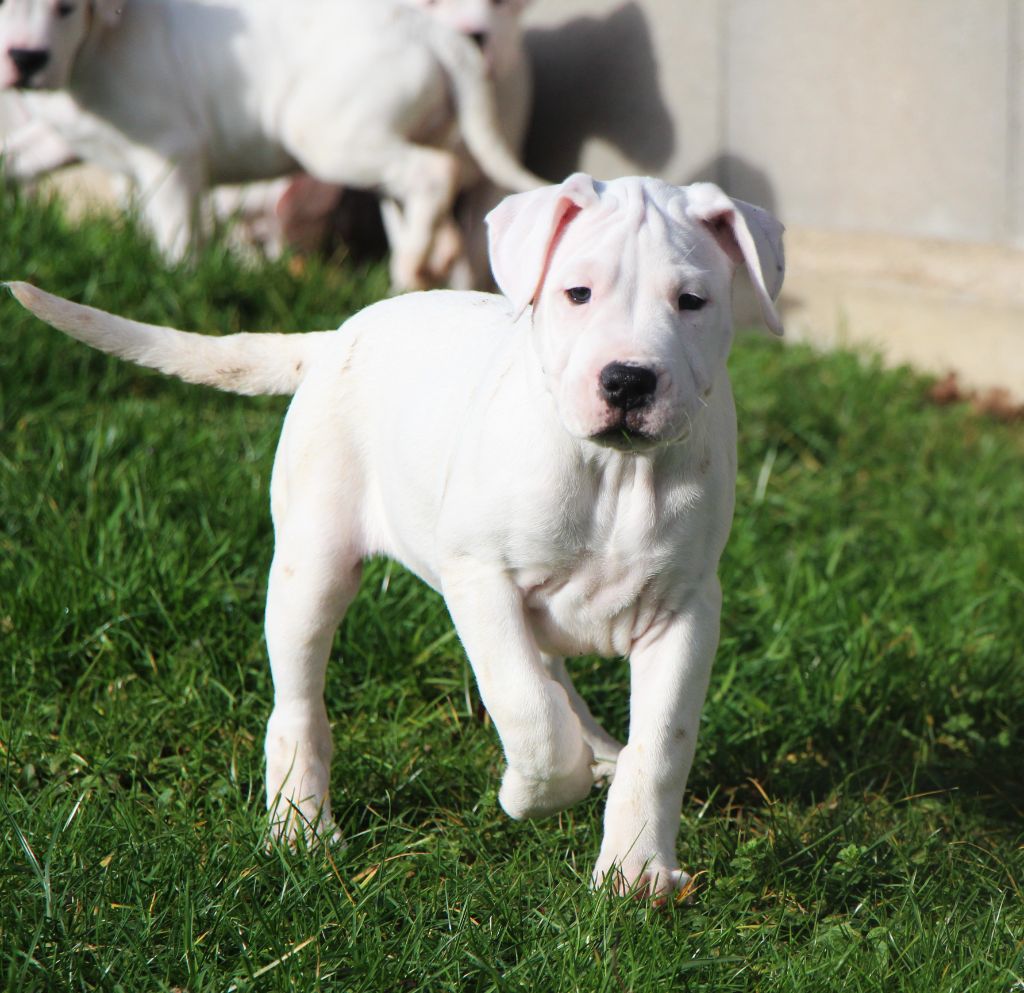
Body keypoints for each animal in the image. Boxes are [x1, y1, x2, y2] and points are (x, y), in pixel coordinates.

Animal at [0, 0, 544, 286]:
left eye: (66, 8)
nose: (26, 59)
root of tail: (430, 31)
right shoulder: (56, 137)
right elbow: (13, 159)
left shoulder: (170, 154)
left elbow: (176, 234)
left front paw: (179, 283)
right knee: (424, 207)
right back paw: (417, 269)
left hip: (325, 136)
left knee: (432, 174)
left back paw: (411, 266)